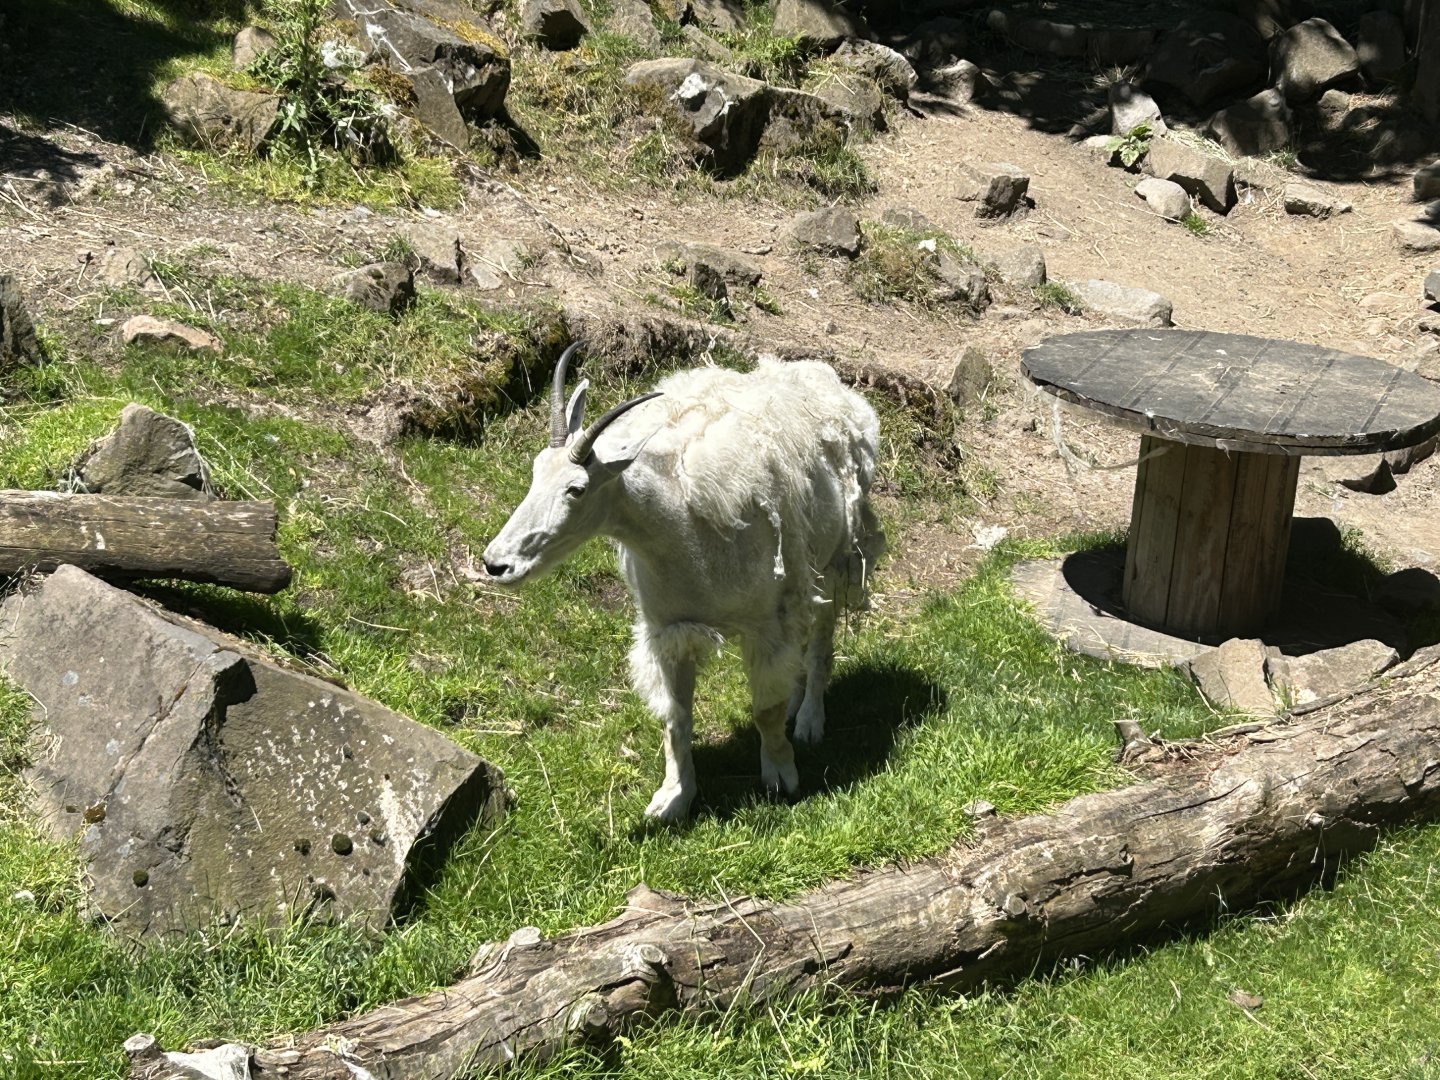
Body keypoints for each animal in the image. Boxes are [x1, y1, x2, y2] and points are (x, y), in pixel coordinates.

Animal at [483, 344, 885, 821]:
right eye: (535, 470)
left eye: (576, 489)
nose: (496, 564)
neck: (680, 527)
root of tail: (831, 384)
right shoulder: (669, 629)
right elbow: (676, 718)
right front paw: (673, 799)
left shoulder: (763, 623)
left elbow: (764, 710)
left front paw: (781, 776)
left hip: (837, 560)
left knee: (821, 639)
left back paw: (808, 721)